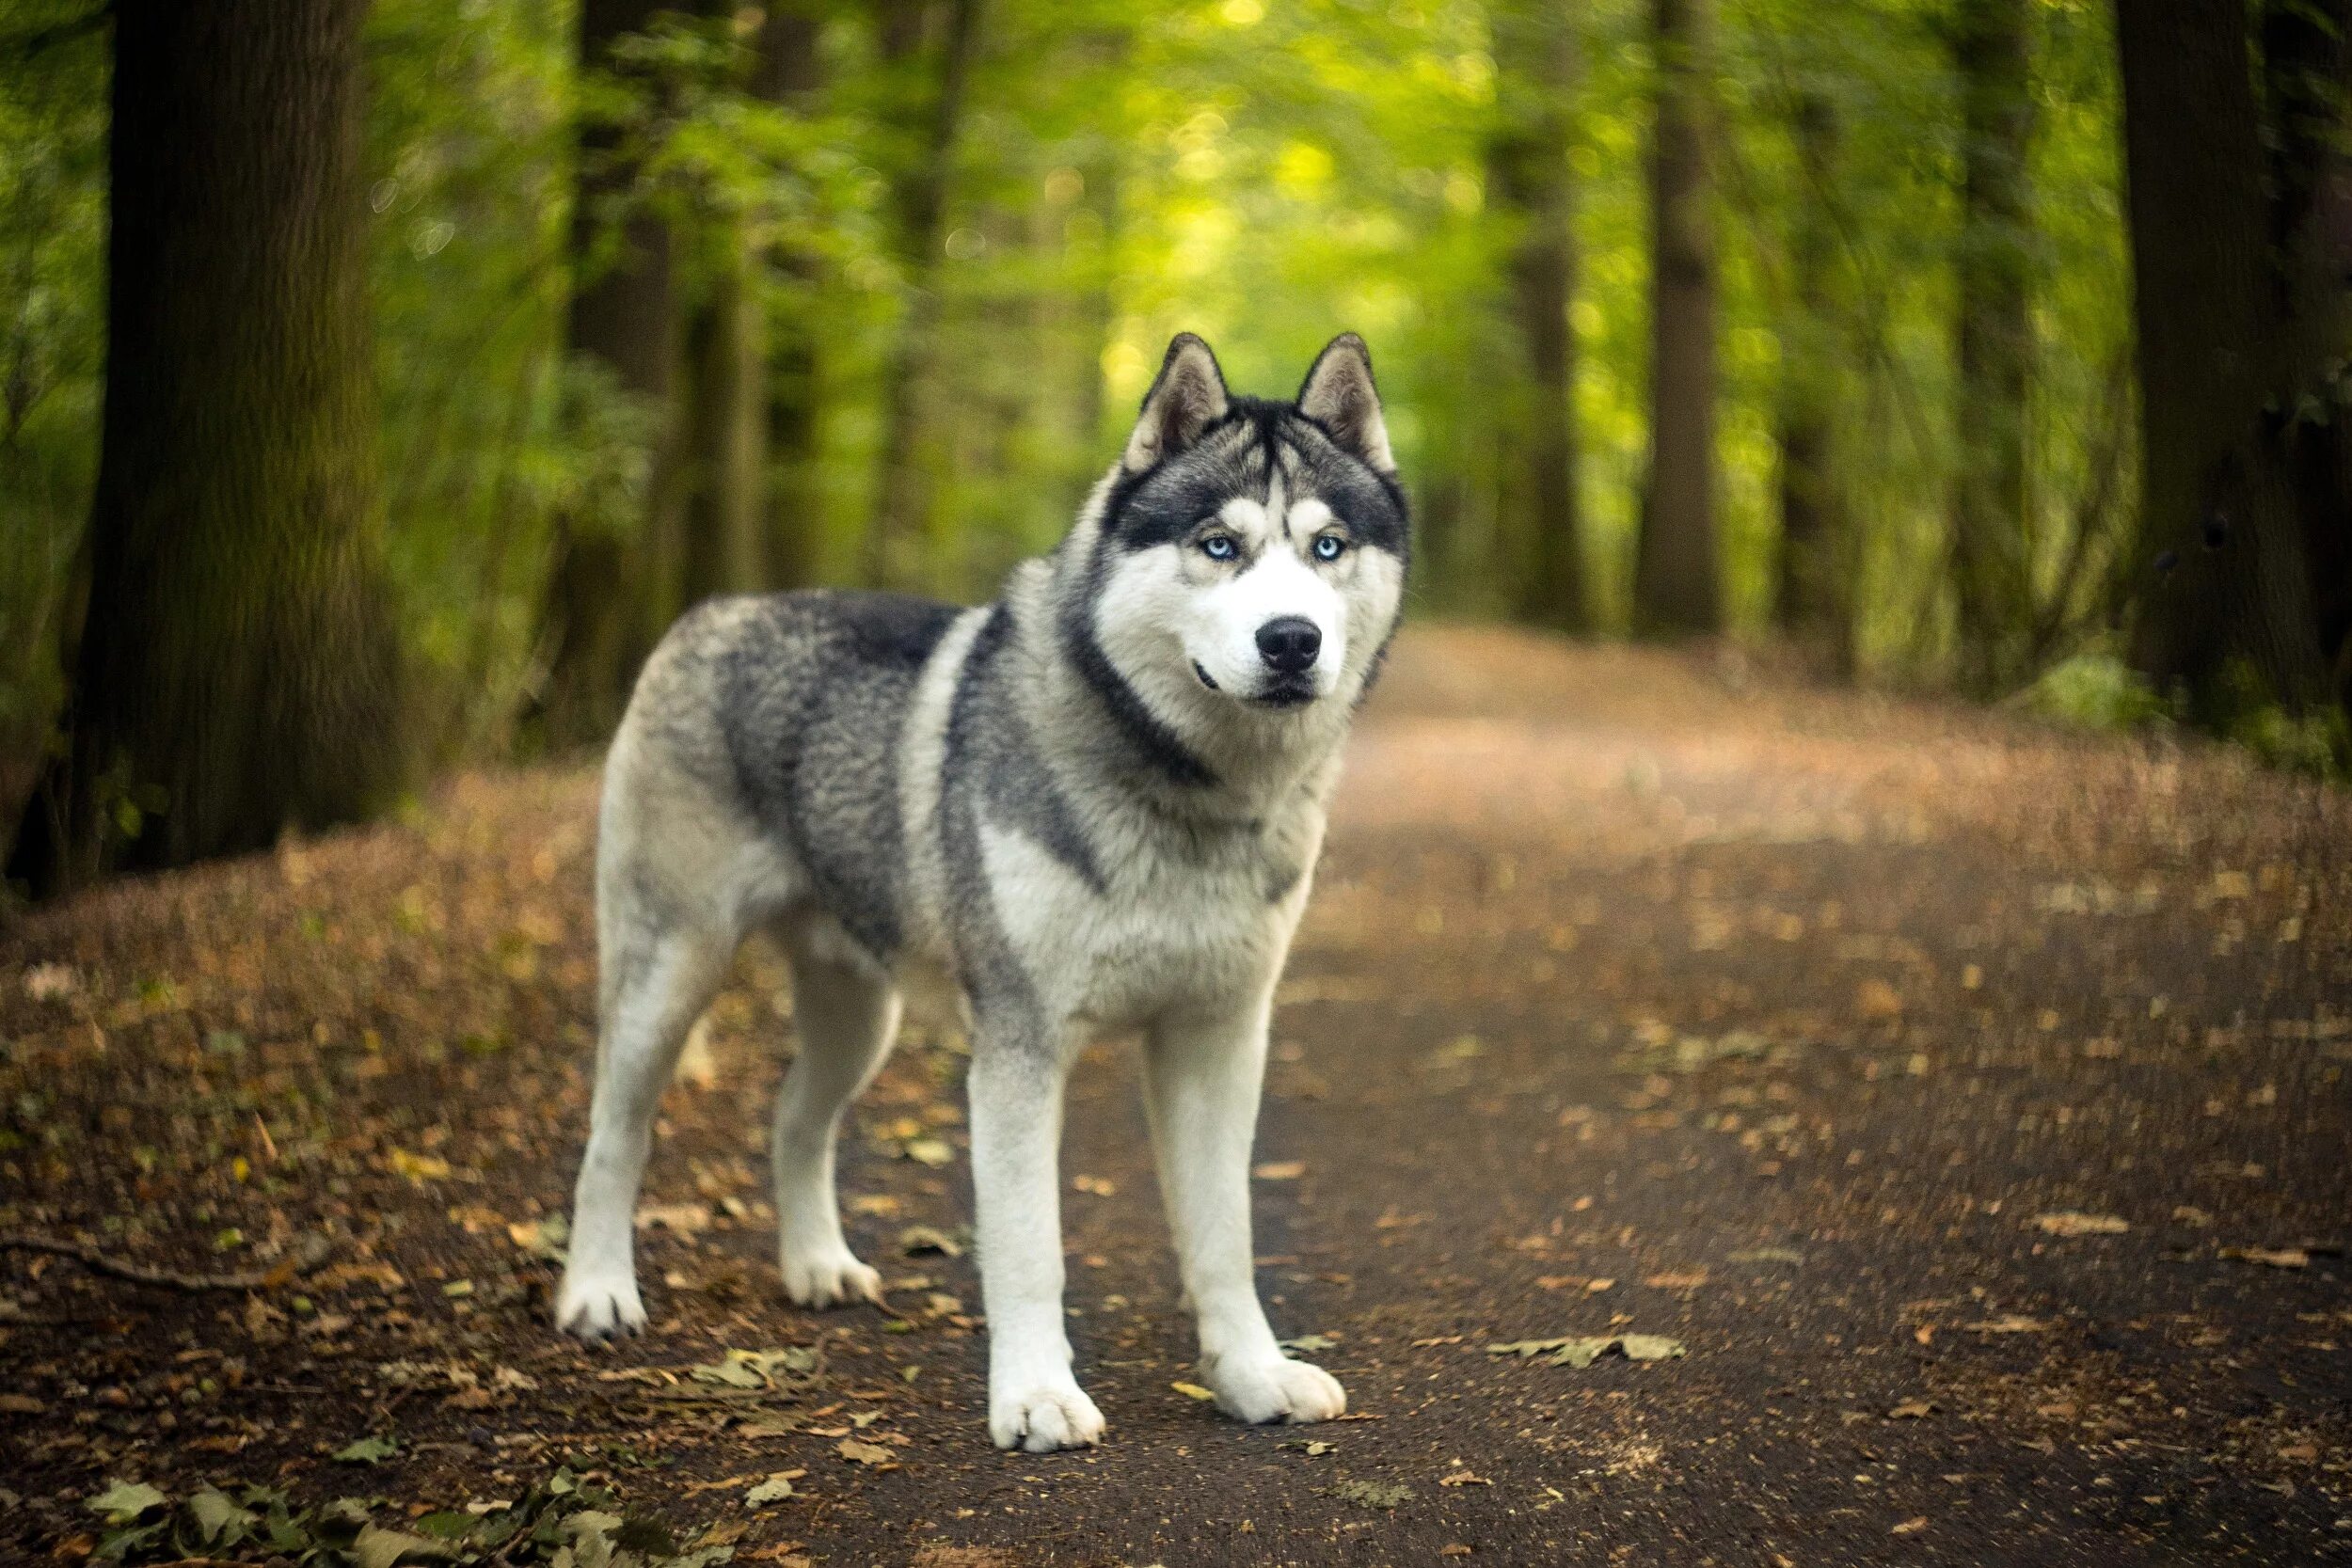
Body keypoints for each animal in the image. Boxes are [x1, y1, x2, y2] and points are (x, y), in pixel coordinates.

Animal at [557, 338, 1402, 1457]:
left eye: (1327, 546)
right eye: (1219, 545)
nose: (1292, 640)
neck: (1186, 792)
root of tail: (714, 609)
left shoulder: (1220, 1036)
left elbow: (1225, 1236)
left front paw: (1252, 1377)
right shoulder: (1019, 1046)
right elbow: (1030, 1245)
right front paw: (1037, 1396)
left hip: (857, 1014)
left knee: (793, 1118)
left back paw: (816, 1266)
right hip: (669, 973)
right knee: (614, 1133)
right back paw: (597, 1292)